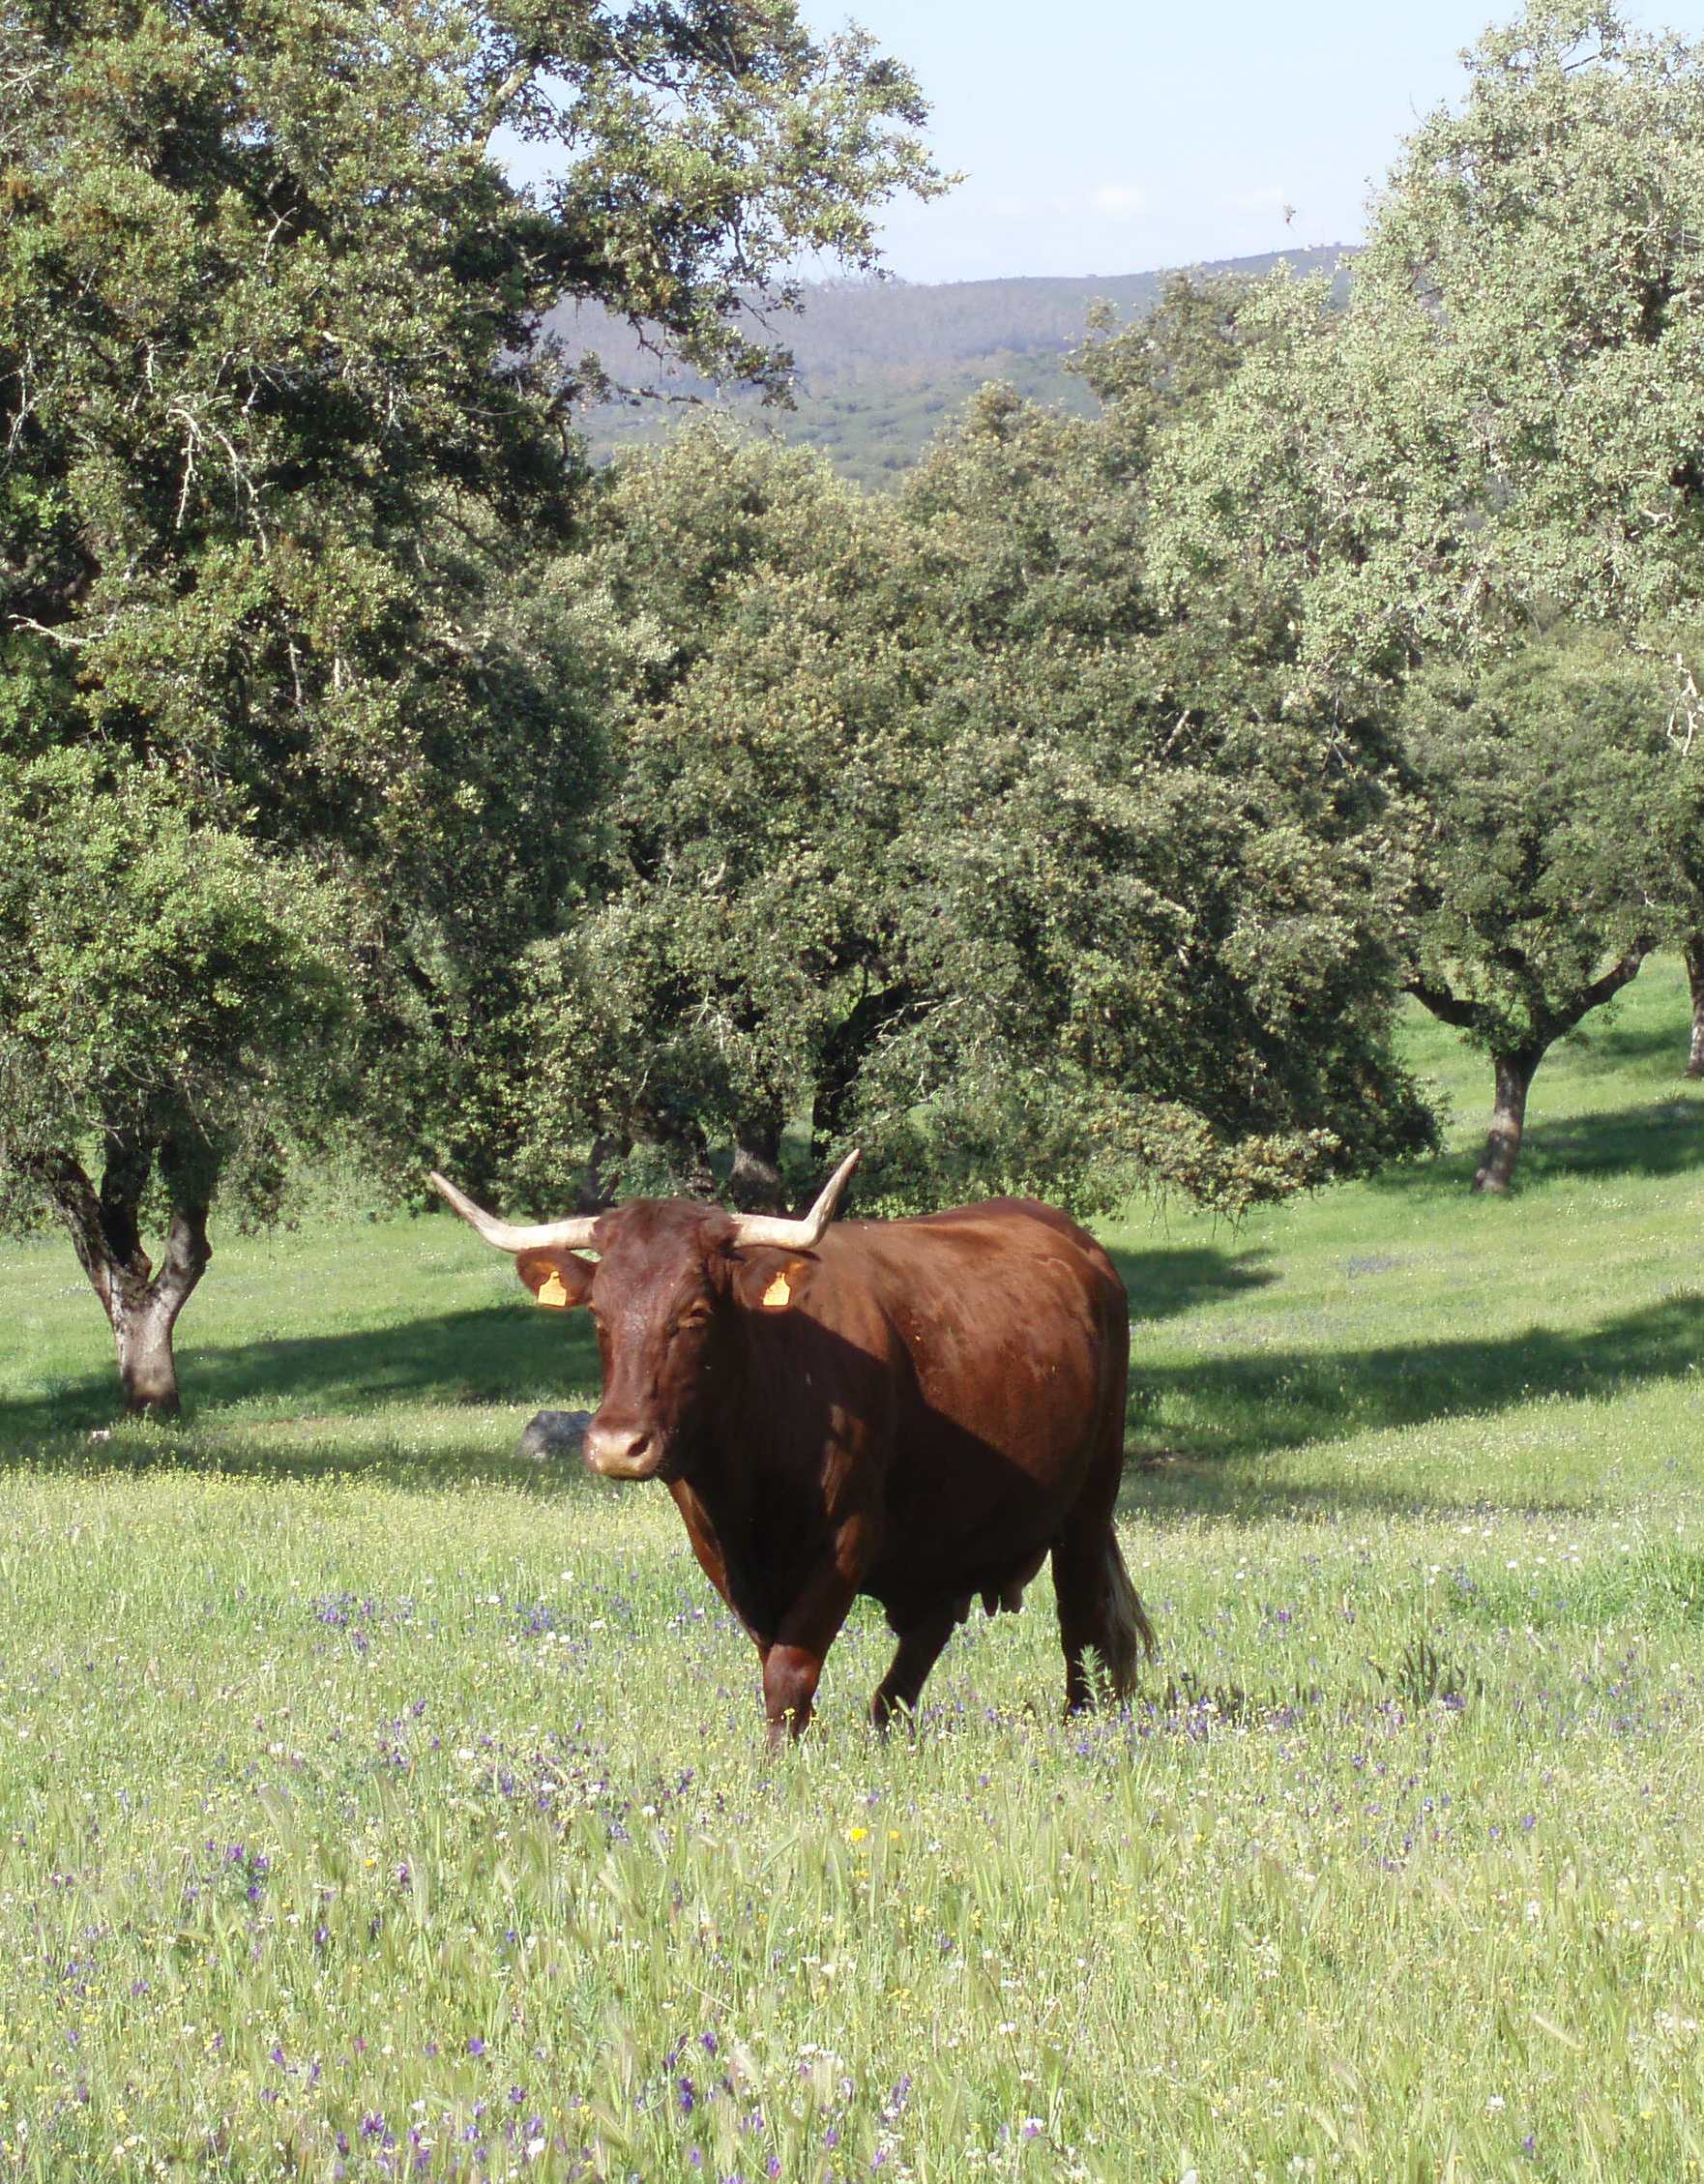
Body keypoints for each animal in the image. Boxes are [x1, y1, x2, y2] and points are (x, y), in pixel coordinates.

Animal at [430, 1152, 1154, 1743]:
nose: (615, 1445)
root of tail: (1074, 1240)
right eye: (598, 1316)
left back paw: (1082, 1723)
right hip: (944, 1529)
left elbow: (791, 1666)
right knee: (928, 1631)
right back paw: (887, 1724)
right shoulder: (720, 1549)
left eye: (695, 1312)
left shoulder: (849, 1534)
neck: (747, 1479)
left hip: (1091, 1498)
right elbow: (769, 1654)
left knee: (1081, 1616)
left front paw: (780, 1764)